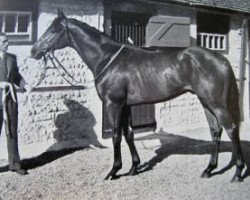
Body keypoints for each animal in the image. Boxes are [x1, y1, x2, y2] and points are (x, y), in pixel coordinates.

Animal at [30, 10, 244, 183]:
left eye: (54, 30)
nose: (34, 50)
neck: (107, 58)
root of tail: (221, 59)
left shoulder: (114, 104)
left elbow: (116, 135)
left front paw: (114, 171)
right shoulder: (126, 105)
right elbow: (129, 134)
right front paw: (134, 167)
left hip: (217, 103)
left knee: (232, 129)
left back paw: (237, 173)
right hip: (205, 102)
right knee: (215, 131)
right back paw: (209, 170)